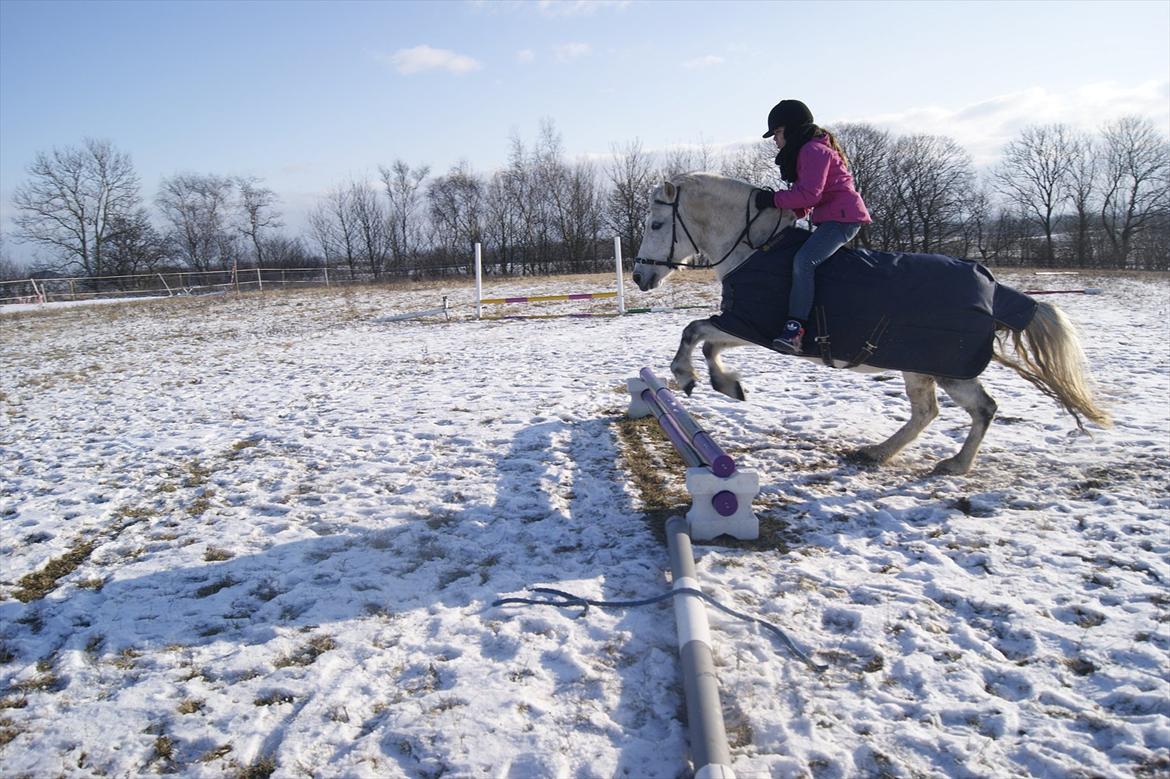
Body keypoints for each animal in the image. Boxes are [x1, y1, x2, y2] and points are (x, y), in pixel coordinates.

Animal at [636, 171, 1109, 472]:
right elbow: (706, 341)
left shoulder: (750, 324)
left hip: (947, 368)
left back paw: (956, 464)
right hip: (920, 367)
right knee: (928, 412)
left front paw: (690, 378)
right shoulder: (744, 326)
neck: (756, 249)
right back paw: (879, 454)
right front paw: (727, 384)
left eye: (658, 224)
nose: (640, 277)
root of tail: (994, 291)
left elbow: (694, 332)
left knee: (982, 409)